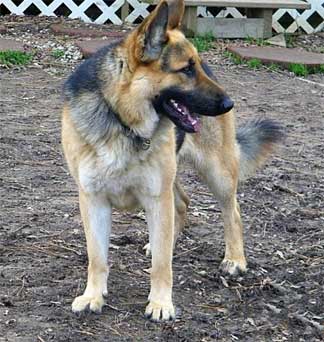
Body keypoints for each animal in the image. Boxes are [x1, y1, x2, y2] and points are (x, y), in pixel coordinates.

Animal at [61, 0, 284, 320]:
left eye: (196, 65)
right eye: (186, 69)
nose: (229, 103)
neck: (124, 122)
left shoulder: (157, 197)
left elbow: (162, 264)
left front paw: (161, 303)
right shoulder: (93, 200)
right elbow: (97, 256)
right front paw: (93, 295)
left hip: (216, 174)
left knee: (232, 213)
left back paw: (235, 259)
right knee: (183, 204)